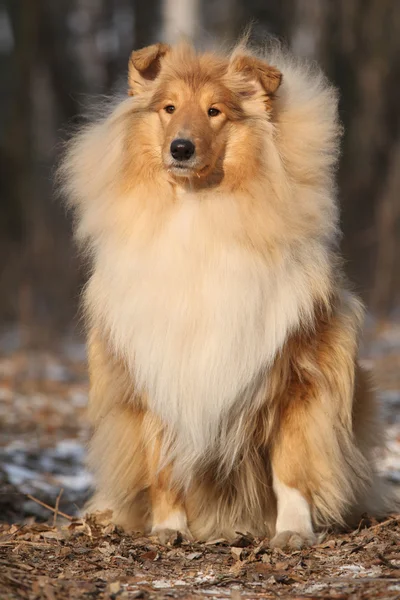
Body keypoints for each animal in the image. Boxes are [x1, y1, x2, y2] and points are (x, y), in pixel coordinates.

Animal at [61, 41, 392, 548]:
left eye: (215, 111)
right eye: (169, 108)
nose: (181, 148)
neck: (198, 212)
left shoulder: (299, 375)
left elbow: (291, 466)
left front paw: (294, 531)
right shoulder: (155, 371)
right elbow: (164, 466)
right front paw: (168, 528)